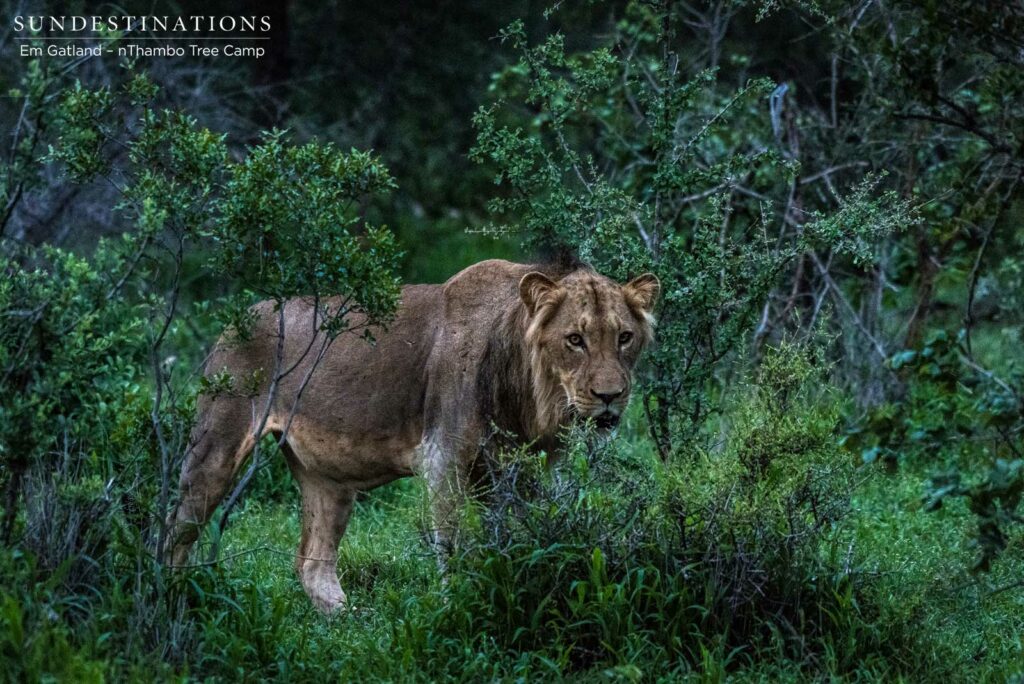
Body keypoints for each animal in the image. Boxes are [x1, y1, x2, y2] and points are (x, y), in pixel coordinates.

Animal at [166, 259, 659, 612]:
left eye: (624, 337)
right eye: (575, 339)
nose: (610, 397)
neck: (532, 397)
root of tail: (239, 317)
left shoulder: (530, 470)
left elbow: (526, 537)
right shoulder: (444, 458)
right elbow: (453, 546)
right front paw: (457, 607)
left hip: (327, 480)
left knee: (312, 563)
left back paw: (354, 624)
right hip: (215, 446)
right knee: (174, 534)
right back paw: (172, 601)